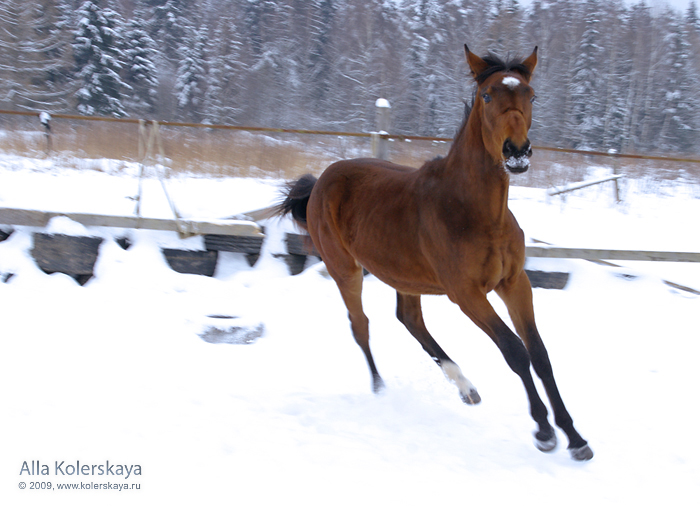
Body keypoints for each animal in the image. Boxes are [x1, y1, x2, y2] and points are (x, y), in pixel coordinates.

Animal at [274, 45, 592, 460]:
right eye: (486, 95)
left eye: (532, 95)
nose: (517, 153)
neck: (475, 211)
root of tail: (319, 182)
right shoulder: (467, 293)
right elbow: (514, 351)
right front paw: (544, 432)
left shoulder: (514, 282)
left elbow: (539, 353)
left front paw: (576, 437)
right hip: (346, 270)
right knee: (361, 326)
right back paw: (381, 388)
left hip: (404, 275)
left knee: (409, 319)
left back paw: (467, 389)